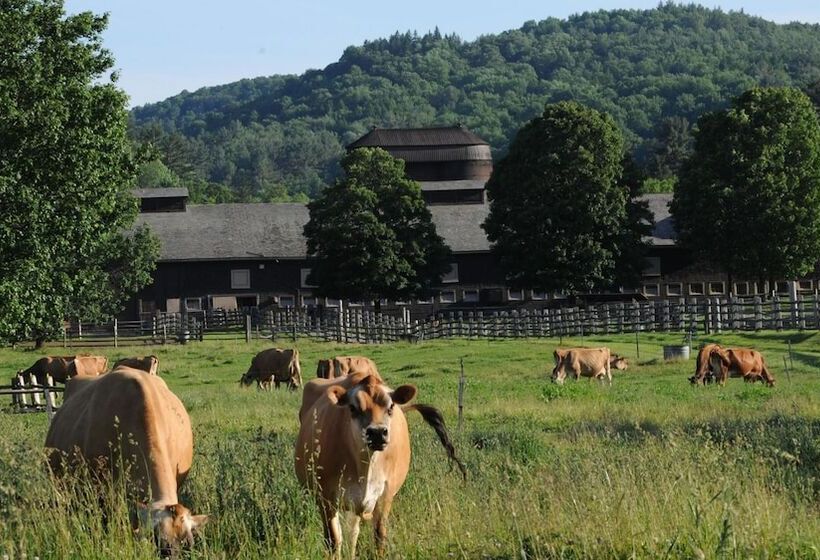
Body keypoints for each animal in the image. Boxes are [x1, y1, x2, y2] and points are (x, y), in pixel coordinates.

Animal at [294, 370, 464, 556]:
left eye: (390, 407)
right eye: (352, 408)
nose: (377, 433)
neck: (366, 466)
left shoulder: (385, 495)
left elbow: (379, 537)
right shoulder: (325, 498)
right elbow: (333, 540)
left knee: (353, 533)